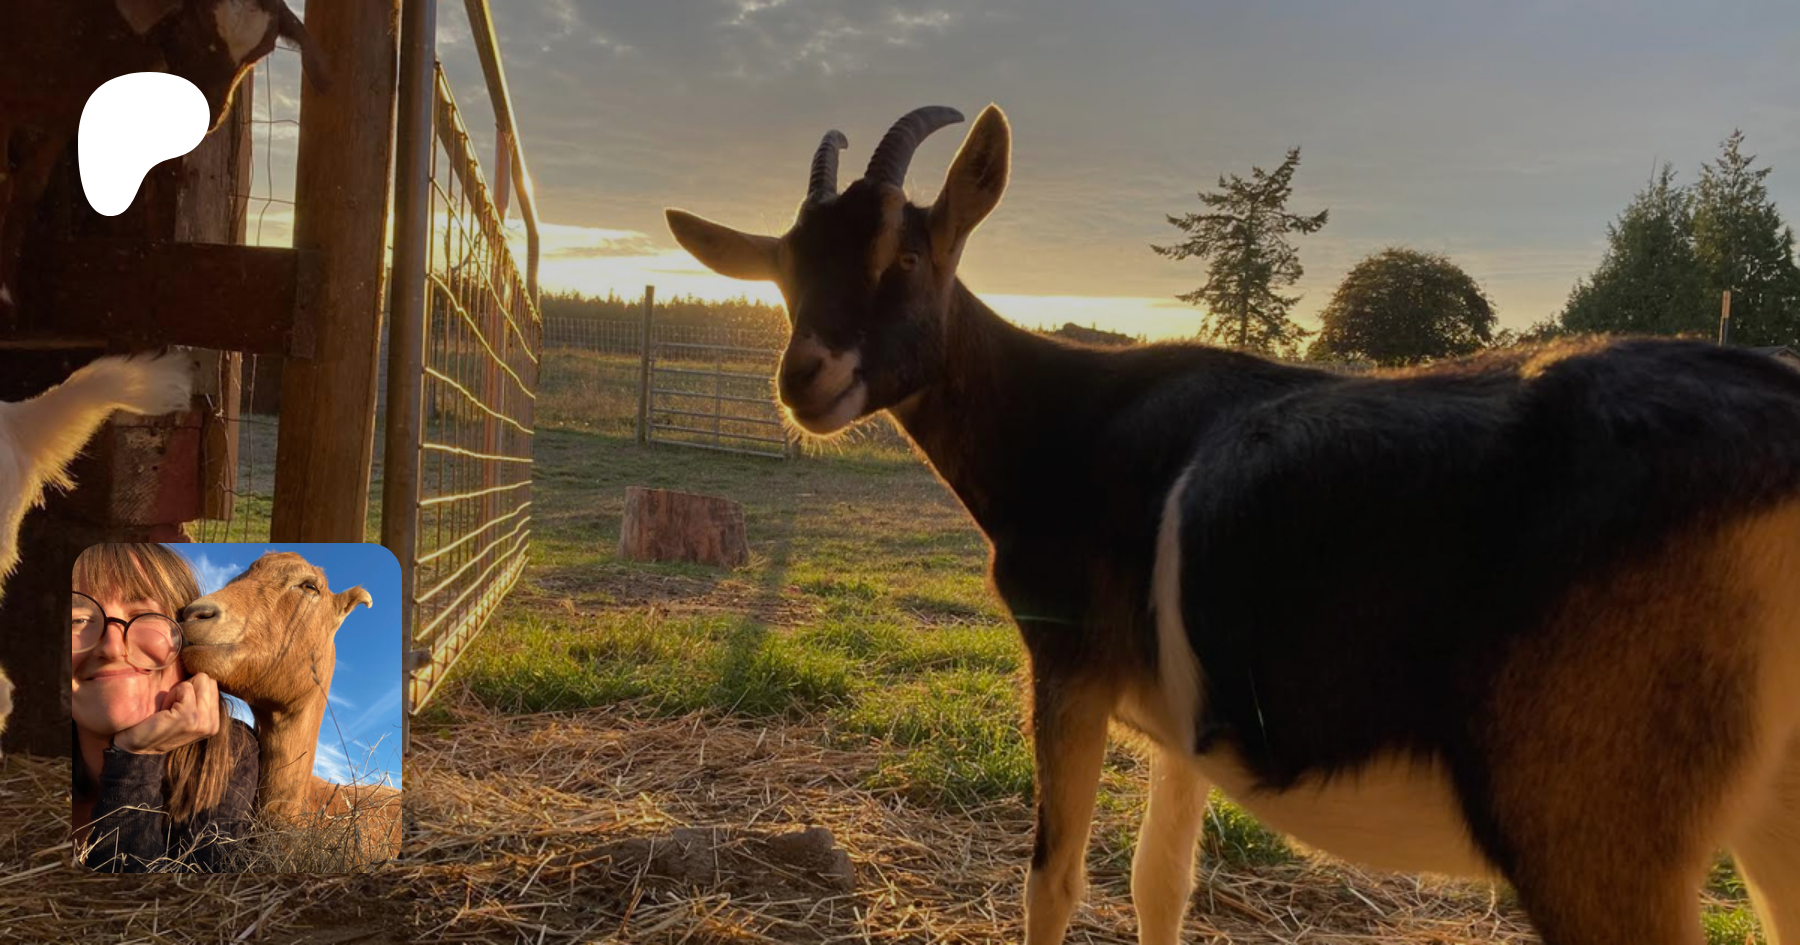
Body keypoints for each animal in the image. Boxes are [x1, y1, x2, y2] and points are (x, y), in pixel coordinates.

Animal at [0, 0, 329, 312]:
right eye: (192, 20)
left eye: (264, 50)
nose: (208, 112)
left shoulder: (62, 117)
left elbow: (28, 189)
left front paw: (7, 294)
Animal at [665, 104, 1800, 945]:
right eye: (785, 270)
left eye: (906, 254)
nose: (803, 379)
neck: (1065, 418)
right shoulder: (1180, 724)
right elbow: (1156, 880)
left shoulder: (1069, 664)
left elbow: (1055, 881)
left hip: (1591, 812)